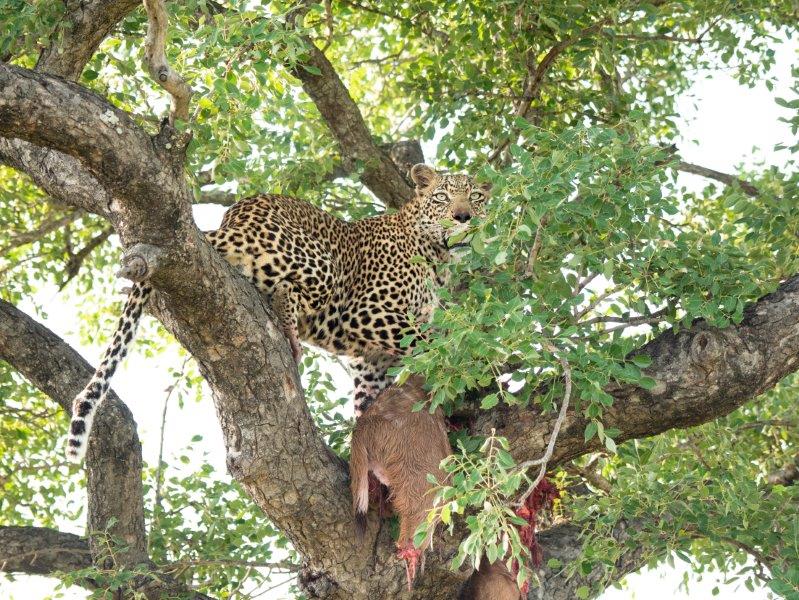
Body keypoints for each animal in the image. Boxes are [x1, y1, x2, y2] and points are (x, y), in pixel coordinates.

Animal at [67, 164, 494, 464]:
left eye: (475, 197)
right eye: (442, 197)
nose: (463, 217)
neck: (437, 256)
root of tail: (234, 218)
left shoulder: (369, 358)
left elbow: (370, 400)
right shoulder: (368, 312)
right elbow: (434, 342)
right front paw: (484, 365)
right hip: (320, 263)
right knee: (287, 290)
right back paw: (289, 329)